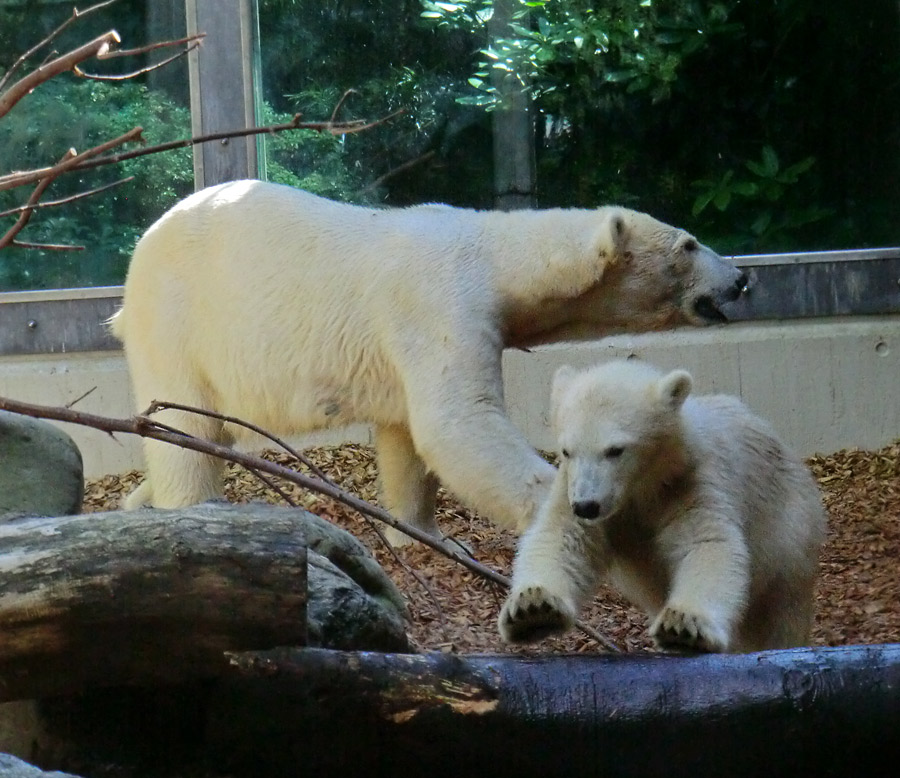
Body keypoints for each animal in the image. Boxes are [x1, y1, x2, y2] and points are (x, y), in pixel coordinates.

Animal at [110, 182, 744, 544]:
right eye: (689, 244)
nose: (740, 278)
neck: (494, 255)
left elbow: (407, 441)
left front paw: (424, 536)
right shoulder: (440, 307)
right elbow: (459, 427)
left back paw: (139, 501)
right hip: (180, 318)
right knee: (187, 427)